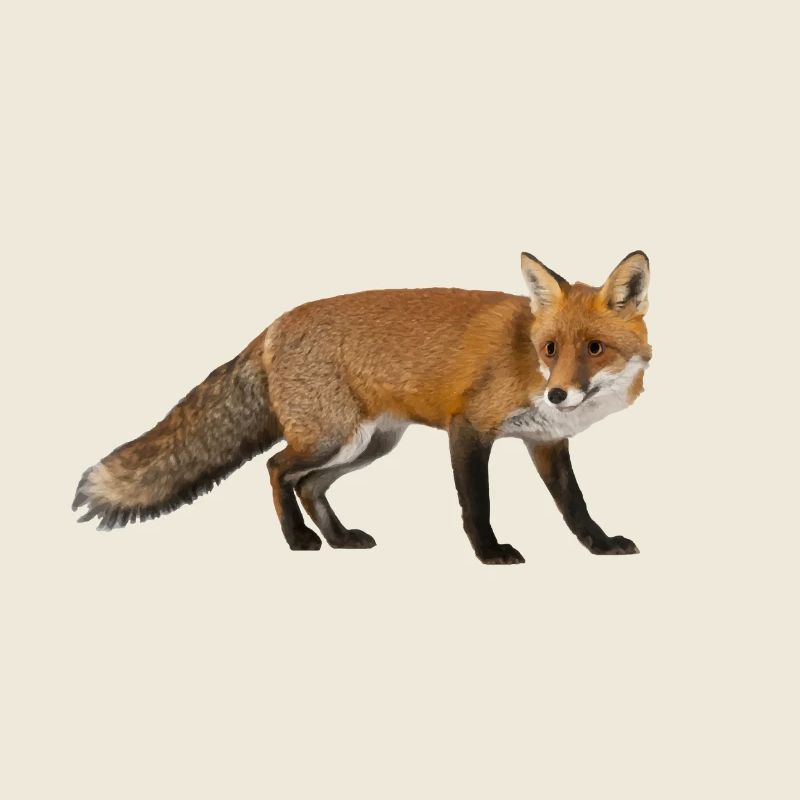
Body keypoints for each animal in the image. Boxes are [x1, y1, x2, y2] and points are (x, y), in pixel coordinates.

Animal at [73, 250, 652, 564]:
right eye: (550, 349)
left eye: (594, 348)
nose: (558, 394)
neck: (526, 361)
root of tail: (274, 325)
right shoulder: (468, 428)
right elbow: (477, 506)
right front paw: (490, 554)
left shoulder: (546, 442)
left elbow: (575, 505)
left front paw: (599, 545)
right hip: (334, 437)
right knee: (276, 468)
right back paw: (299, 540)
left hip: (370, 445)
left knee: (307, 485)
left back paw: (339, 538)